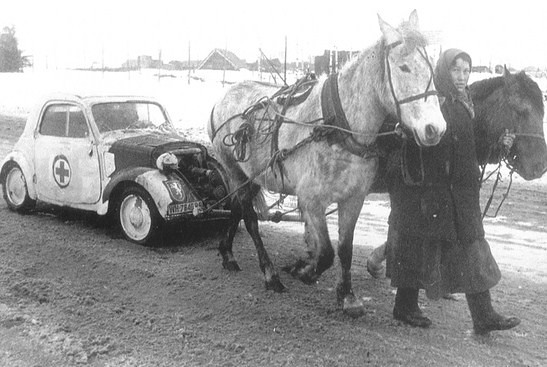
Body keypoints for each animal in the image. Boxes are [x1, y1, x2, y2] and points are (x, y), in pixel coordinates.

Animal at [208, 10, 448, 316]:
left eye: (431, 67)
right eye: (404, 67)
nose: (435, 128)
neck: (339, 127)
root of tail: (222, 98)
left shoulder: (353, 199)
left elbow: (344, 248)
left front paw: (347, 295)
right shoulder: (311, 200)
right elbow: (325, 253)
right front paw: (304, 271)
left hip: (252, 176)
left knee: (238, 208)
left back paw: (227, 252)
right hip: (234, 171)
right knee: (249, 219)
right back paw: (270, 274)